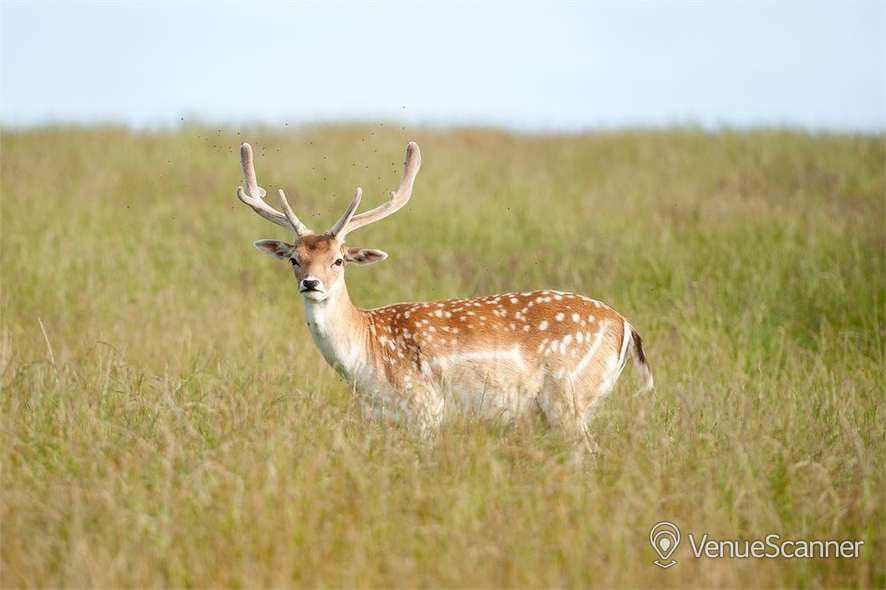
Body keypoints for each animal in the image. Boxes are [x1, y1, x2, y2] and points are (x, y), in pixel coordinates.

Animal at [235, 141, 653, 454]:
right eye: (295, 258)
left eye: (338, 259)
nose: (311, 283)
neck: (367, 353)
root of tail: (626, 327)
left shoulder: (425, 406)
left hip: (568, 395)